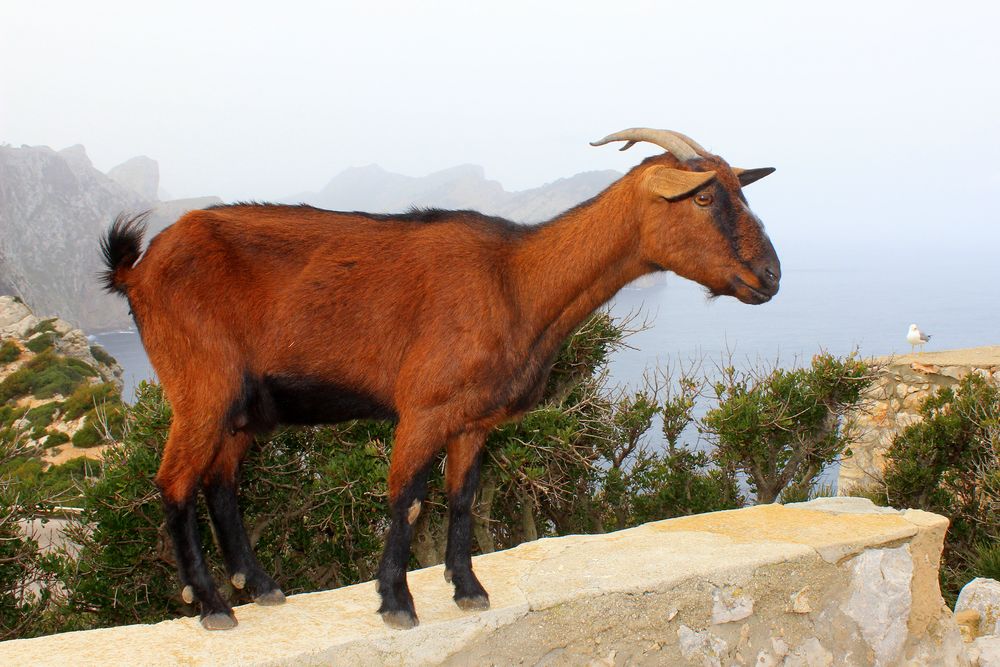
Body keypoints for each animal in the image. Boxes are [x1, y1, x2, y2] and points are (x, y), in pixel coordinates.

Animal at [97, 126, 776, 632]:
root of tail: (137, 269)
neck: (517, 279)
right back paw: (212, 605)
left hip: (245, 405)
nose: (770, 276)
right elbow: (407, 496)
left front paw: (468, 588)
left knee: (221, 481)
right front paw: (397, 602)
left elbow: (462, 498)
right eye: (703, 198)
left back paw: (259, 586)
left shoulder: (473, 421)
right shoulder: (424, 408)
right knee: (176, 481)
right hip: (200, 385)